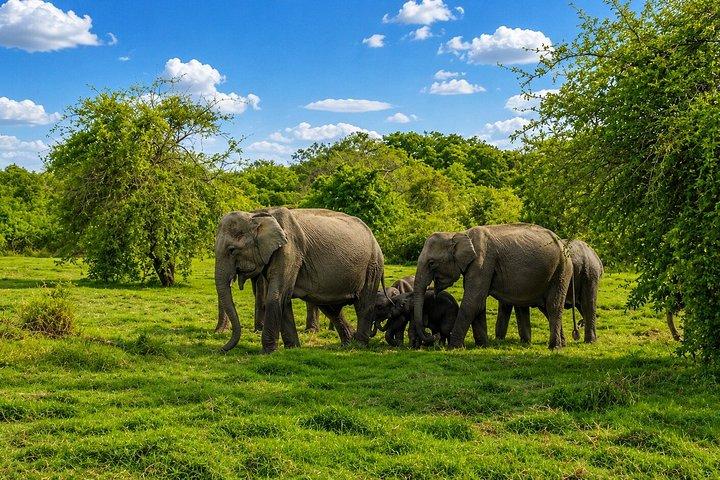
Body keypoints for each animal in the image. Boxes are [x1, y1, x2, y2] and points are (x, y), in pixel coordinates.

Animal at [214, 207, 385, 353]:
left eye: (232, 250)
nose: (220, 349)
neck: (257, 214)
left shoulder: (290, 250)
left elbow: (276, 295)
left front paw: (267, 352)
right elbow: (283, 297)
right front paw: (292, 348)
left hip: (373, 265)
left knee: (364, 304)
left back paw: (360, 345)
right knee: (330, 308)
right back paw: (347, 344)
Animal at [412, 223, 573, 350]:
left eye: (431, 263)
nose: (432, 335)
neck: (459, 234)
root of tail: (562, 242)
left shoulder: (482, 262)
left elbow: (473, 302)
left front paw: (454, 348)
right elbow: (478, 304)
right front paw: (482, 346)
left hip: (562, 270)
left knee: (553, 306)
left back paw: (554, 347)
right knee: (546, 307)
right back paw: (562, 344)